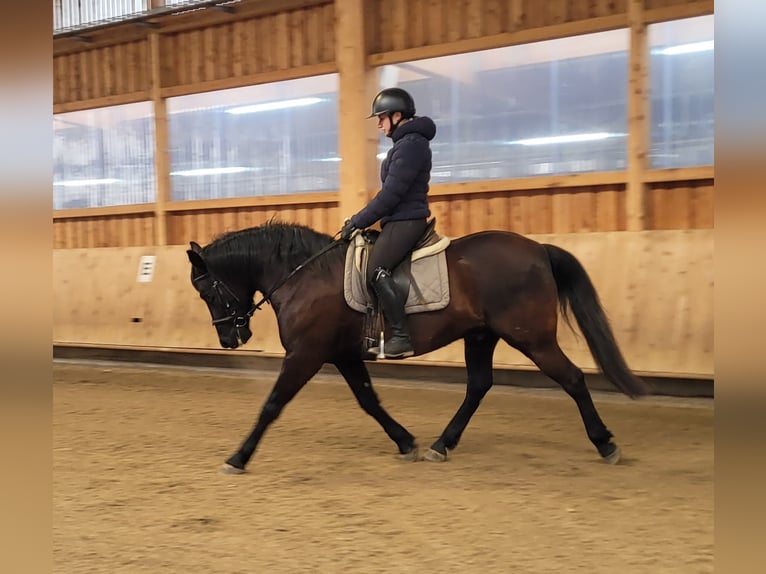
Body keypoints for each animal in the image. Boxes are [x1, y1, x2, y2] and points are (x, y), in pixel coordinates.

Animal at [186, 221, 651, 474]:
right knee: (478, 386)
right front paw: (405, 441)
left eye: (207, 291)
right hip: (481, 336)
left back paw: (606, 444)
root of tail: (538, 249)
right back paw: (441, 445)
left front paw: (238, 457)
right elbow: (369, 401)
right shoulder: (342, 355)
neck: (304, 276)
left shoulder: (306, 354)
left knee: (572, 379)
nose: (230, 339)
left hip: (531, 338)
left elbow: (272, 404)